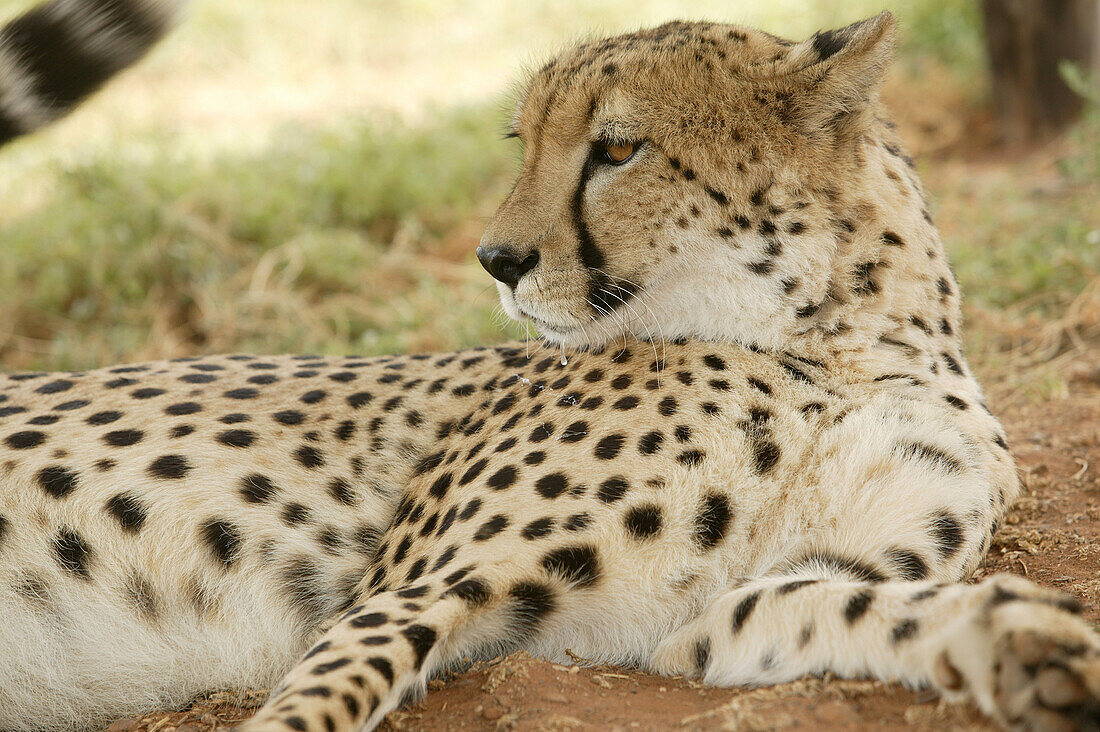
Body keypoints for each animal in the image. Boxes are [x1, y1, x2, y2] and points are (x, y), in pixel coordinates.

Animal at [2, 7, 1100, 730]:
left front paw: (1020, 642)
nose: (496, 259)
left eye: (615, 148)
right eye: (521, 142)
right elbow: (315, 705)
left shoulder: (723, 612)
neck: (843, 342)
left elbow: (861, 607)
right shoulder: (406, 589)